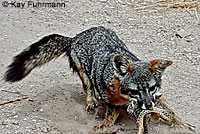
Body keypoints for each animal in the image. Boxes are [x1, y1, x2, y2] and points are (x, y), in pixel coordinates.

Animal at [4, 26, 173, 129]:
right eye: (135, 91)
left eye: (151, 88)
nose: (149, 105)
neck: (124, 96)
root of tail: (75, 38)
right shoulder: (112, 103)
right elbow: (110, 117)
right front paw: (103, 126)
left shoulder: (154, 97)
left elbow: (160, 108)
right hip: (84, 74)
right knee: (88, 87)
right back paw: (91, 101)